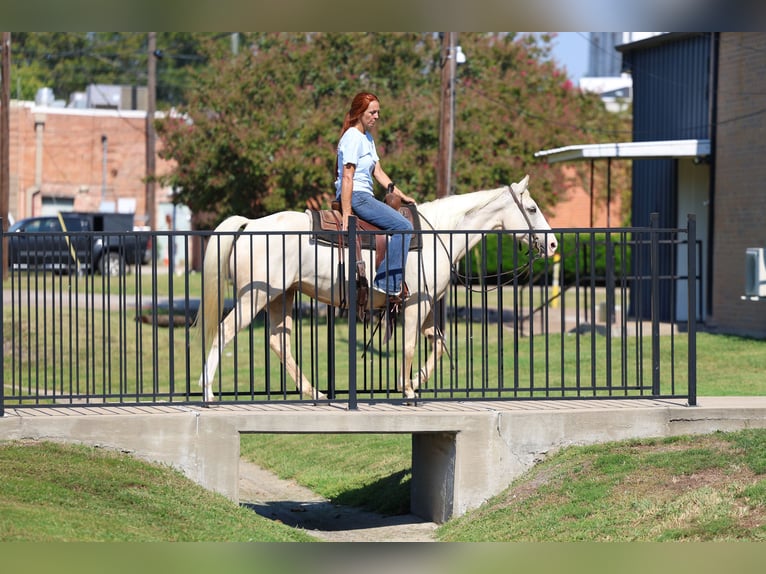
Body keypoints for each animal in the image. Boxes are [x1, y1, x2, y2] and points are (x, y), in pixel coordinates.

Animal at [196, 174, 557, 402]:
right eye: (532, 209)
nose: (553, 244)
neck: (438, 234)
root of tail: (251, 225)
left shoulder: (425, 306)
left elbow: (438, 344)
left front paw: (416, 381)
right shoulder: (415, 304)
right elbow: (409, 345)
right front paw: (407, 389)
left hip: (281, 296)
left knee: (278, 342)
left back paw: (314, 392)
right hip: (255, 296)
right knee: (225, 331)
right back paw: (207, 389)